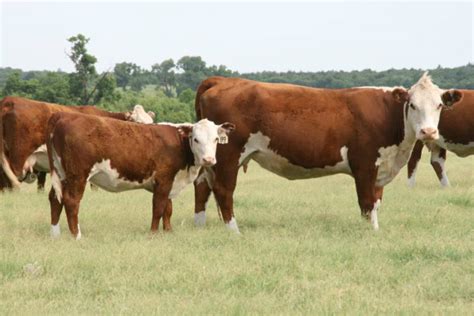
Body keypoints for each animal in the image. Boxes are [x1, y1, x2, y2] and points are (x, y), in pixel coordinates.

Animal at [45, 112, 234, 238]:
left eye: (216, 139)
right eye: (196, 139)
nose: (208, 159)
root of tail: (64, 116)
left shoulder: (170, 182)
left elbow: (168, 209)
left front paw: (168, 231)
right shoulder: (164, 179)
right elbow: (158, 207)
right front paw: (153, 233)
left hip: (62, 174)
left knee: (55, 198)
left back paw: (55, 234)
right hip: (77, 175)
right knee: (71, 201)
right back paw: (77, 236)